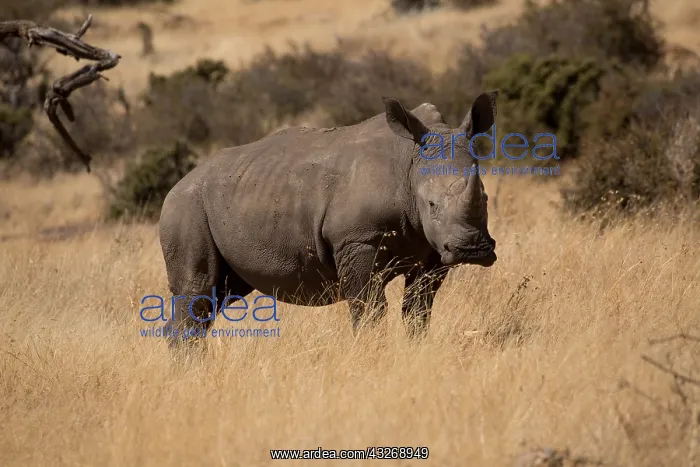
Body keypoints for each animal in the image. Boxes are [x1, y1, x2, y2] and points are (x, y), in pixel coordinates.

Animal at [158, 91, 499, 343]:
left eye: (484, 198)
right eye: (430, 204)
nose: (472, 249)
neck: (409, 165)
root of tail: (176, 185)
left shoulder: (432, 249)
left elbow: (418, 309)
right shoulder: (357, 239)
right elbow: (369, 308)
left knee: (220, 295)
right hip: (186, 206)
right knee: (198, 289)